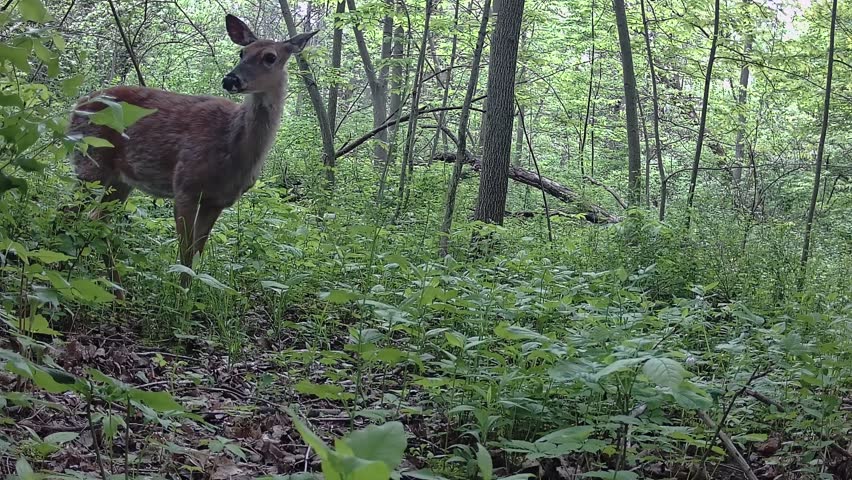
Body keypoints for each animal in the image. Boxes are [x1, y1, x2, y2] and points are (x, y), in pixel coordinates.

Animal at [67, 15, 317, 299]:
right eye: (242, 52)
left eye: (270, 57)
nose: (230, 79)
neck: (233, 146)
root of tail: (76, 106)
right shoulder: (185, 186)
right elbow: (185, 253)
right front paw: (177, 299)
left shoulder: (217, 201)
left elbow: (197, 253)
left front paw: (185, 297)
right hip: (90, 160)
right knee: (71, 212)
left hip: (120, 179)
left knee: (97, 219)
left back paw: (118, 294)